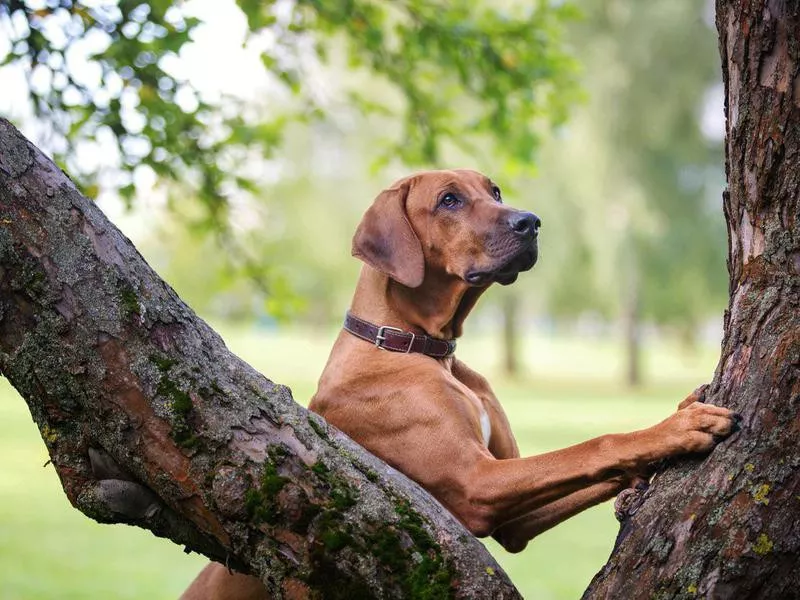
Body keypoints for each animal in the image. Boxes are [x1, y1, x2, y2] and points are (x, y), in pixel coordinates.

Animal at [181, 170, 736, 600]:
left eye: (495, 190)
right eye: (449, 200)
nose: (531, 222)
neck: (419, 348)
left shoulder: (512, 520)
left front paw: (670, 427)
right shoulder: (477, 482)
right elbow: (595, 445)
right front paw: (676, 429)